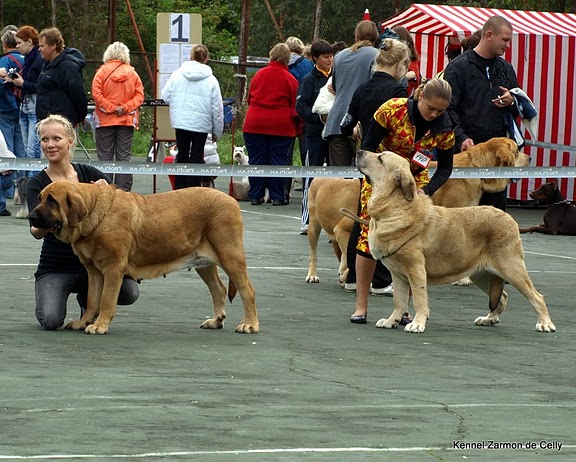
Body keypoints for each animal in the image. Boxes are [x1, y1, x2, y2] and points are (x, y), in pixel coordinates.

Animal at [29, 180, 258, 336]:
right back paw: (216, 320)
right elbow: (93, 300)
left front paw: (99, 325)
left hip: (230, 255)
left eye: (52, 201)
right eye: (39, 198)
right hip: (204, 262)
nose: (31, 217)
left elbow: (106, 300)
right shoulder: (94, 271)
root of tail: (231, 200)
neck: (95, 215)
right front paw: (84, 322)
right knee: (218, 289)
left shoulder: (113, 269)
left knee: (247, 290)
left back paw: (249, 324)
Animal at [344, 150, 556, 334]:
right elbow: (399, 300)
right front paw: (392, 320)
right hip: (482, 275)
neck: (395, 206)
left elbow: (419, 299)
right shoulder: (399, 275)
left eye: (380, 158)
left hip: (511, 268)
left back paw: (545, 323)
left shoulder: (416, 270)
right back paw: (489, 319)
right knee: (501, 297)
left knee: (536, 297)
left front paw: (417, 323)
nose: (360, 151)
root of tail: (508, 217)